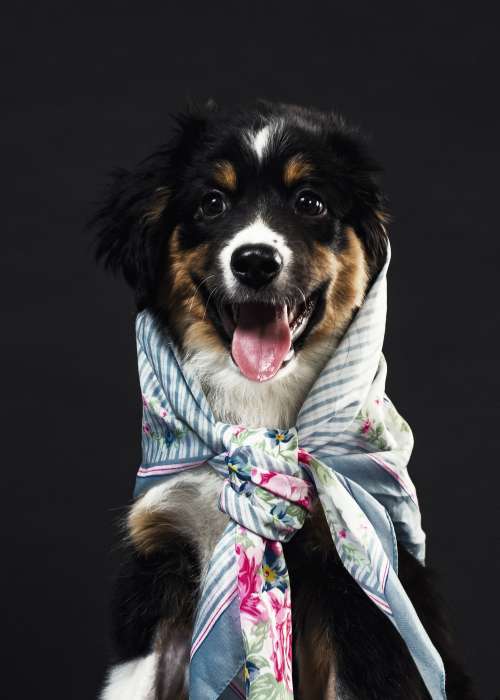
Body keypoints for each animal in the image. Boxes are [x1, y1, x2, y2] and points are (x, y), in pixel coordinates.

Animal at [94, 100, 476, 700]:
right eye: (211, 202)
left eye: (310, 202)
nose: (254, 260)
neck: (258, 413)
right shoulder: (158, 560)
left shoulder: (358, 589)